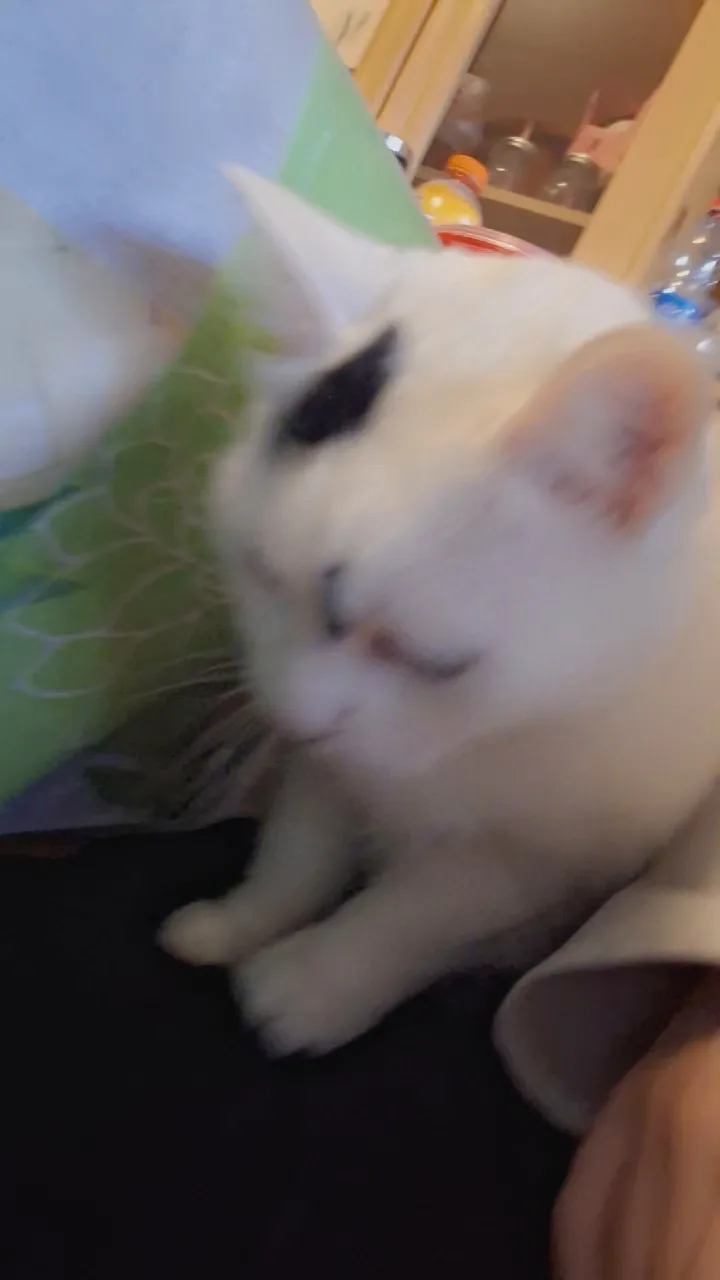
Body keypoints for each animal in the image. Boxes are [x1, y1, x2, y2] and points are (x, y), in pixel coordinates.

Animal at [161, 168, 720, 1056]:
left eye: (430, 659)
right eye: (264, 578)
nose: (296, 721)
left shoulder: (548, 851)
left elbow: (416, 912)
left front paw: (312, 985)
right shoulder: (336, 765)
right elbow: (300, 850)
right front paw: (243, 922)